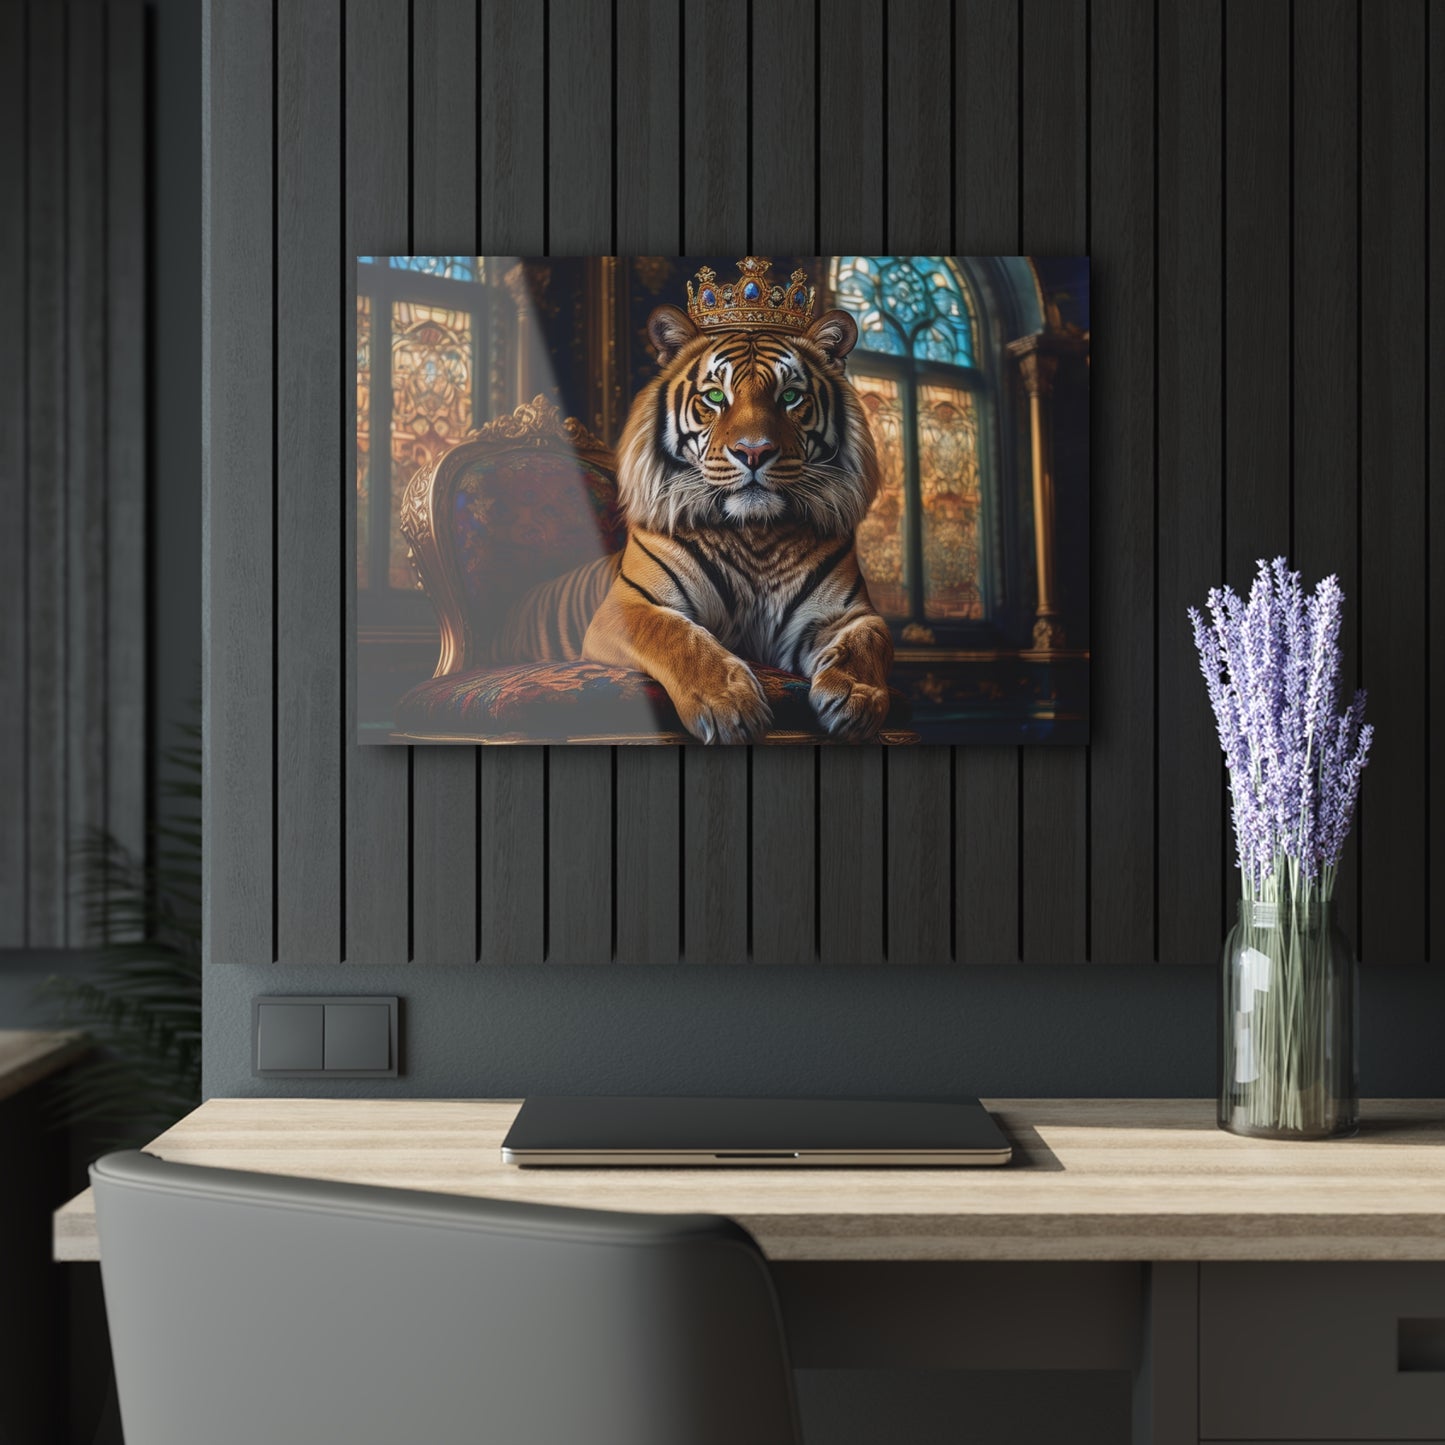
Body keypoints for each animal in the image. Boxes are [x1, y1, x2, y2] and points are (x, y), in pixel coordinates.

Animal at [491, 299, 893, 743]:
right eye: (715, 396)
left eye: (790, 396)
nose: (754, 452)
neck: (756, 533)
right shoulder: (630, 607)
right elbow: (679, 637)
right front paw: (731, 703)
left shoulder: (847, 614)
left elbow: (868, 641)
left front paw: (856, 696)